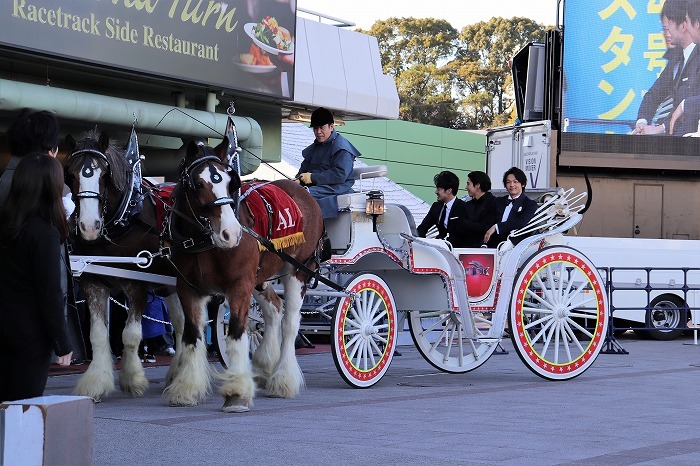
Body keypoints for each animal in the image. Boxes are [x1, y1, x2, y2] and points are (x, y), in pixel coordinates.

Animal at [165, 139, 326, 412]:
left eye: (231, 182)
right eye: (198, 184)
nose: (231, 233)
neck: (204, 243)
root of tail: (302, 191)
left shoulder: (239, 285)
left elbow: (237, 331)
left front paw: (237, 392)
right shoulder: (188, 288)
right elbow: (192, 335)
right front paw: (187, 388)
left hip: (298, 270)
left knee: (290, 323)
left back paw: (283, 378)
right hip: (260, 278)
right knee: (274, 309)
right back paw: (264, 365)